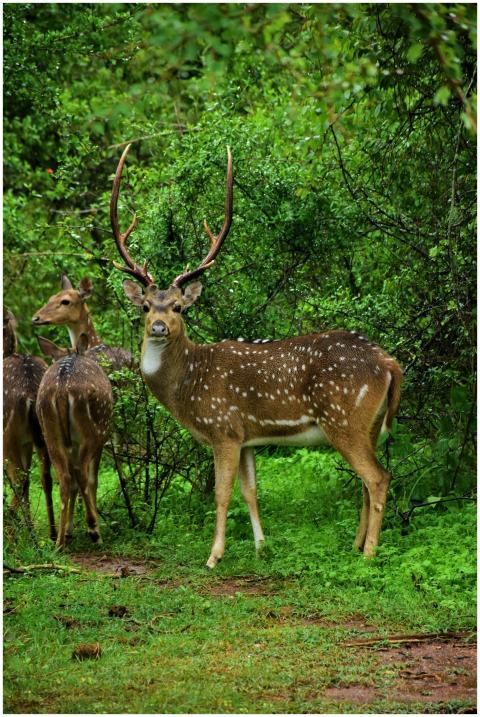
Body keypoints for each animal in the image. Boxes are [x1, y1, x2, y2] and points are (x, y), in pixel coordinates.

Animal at [36, 333, 113, 548]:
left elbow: (73, 485)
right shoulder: (101, 439)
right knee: (80, 472)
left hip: (50, 433)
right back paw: (94, 531)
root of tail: (62, 390)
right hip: (93, 431)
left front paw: (70, 530)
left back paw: (59, 542)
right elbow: (93, 480)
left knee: (64, 477)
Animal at [110, 144, 403, 569]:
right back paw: (355, 545)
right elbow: (251, 491)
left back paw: (368, 555)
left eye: (179, 307)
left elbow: (221, 493)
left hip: (344, 417)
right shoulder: (246, 435)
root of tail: (390, 364)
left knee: (377, 477)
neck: (186, 386)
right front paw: (262, 547)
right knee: (368, 480)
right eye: (147, 306)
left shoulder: (223, 428)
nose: (159, 327)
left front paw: (213, 556)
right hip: (371, 423)